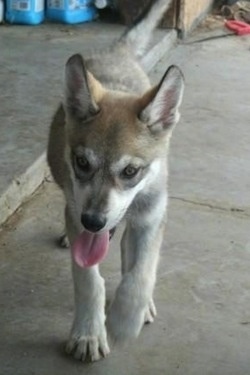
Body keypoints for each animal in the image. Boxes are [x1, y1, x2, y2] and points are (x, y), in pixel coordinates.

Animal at [47, 0, 184, 364]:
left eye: (130, 172)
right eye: (82, 163)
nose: (93, 221)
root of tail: (117, 52)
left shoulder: (151, 218)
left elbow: (140, 274)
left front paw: (125, 319)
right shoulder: (78, 214)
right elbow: (89, 281)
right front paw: (88, 333)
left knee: (127, 251)